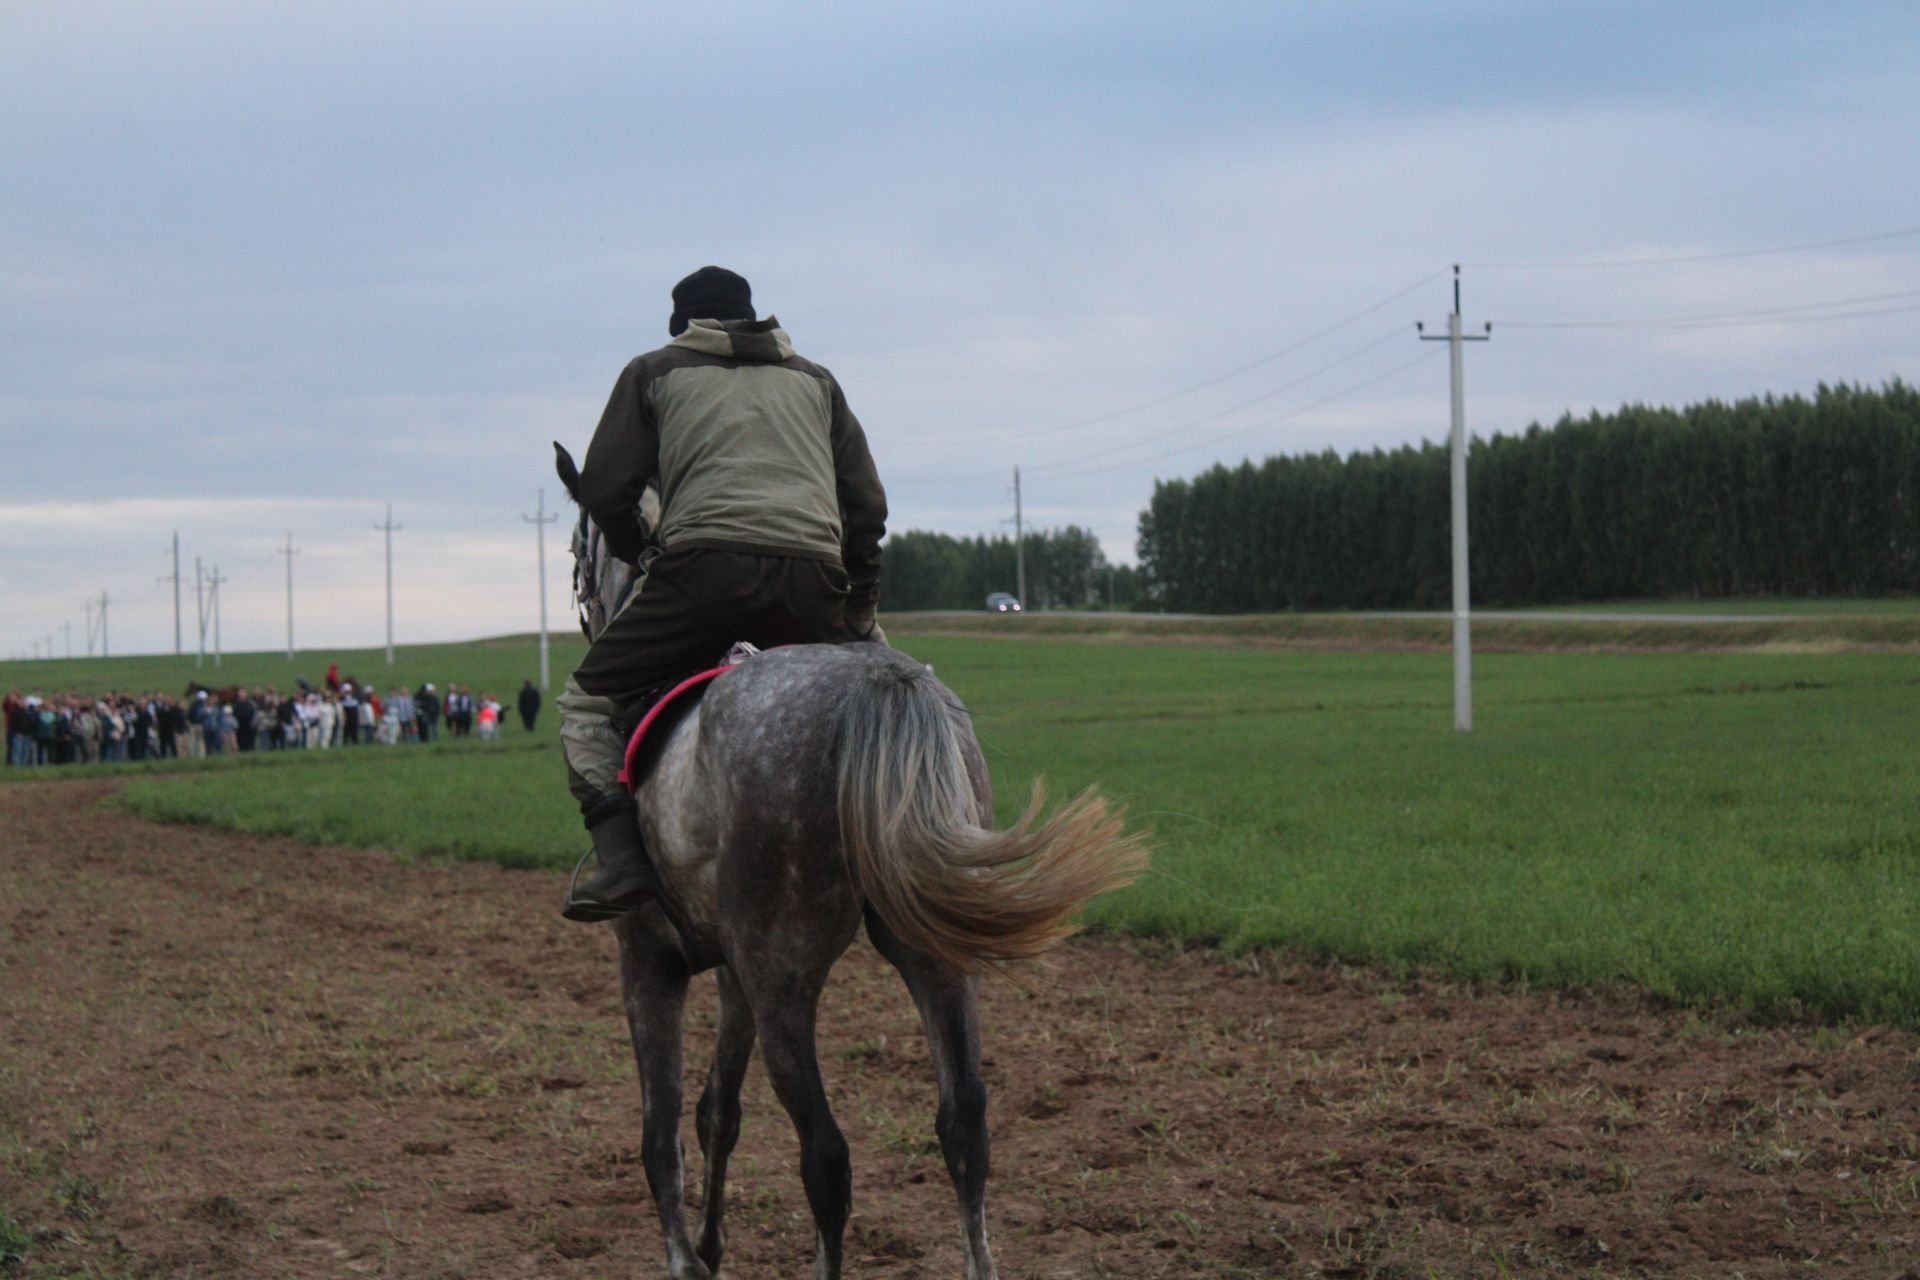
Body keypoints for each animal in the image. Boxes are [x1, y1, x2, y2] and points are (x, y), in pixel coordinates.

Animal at [549, 443, 1144, 1280]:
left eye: (577, 548)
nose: (583, 604)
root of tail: (875, 684)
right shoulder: (732, 974)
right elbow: (716, 1113)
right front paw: (711, 1245)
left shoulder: (650, 961)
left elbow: (660, 1137)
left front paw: (690, 1259)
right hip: (930, 956)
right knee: (965, 1123)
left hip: (785, 978)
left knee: (826, 1156)